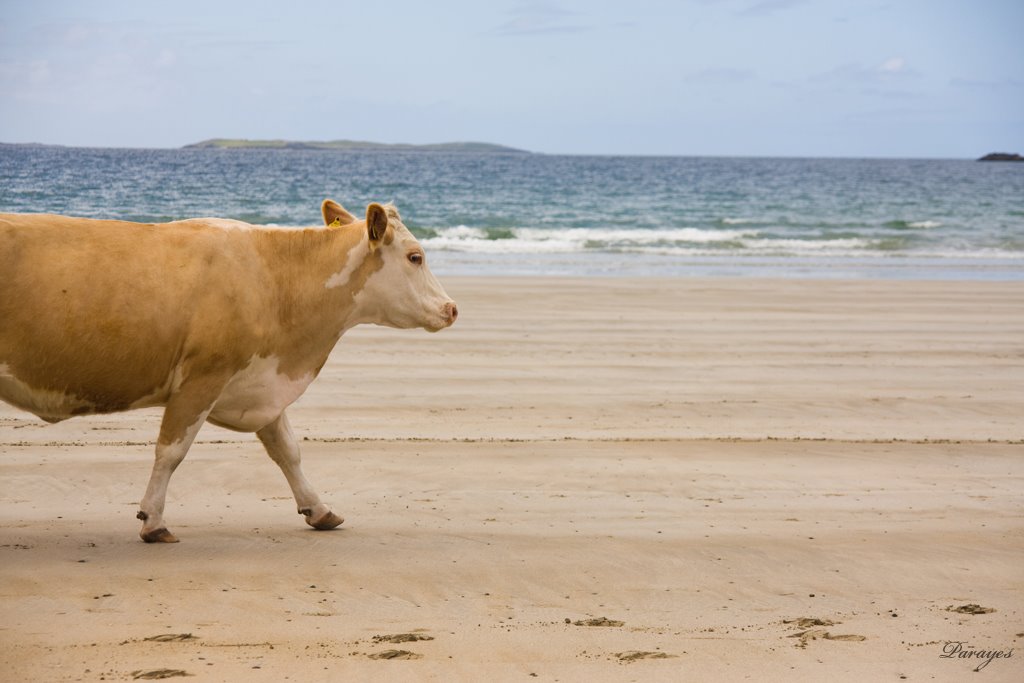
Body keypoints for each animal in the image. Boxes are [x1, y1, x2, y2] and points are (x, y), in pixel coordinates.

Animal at [0, 200, 457, 542]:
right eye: (415, 257)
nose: (452, 308)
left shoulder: (261, 383)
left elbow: (287, 450)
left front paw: (319, 509)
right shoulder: (203, 377)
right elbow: (171, 451)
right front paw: (154, 521)